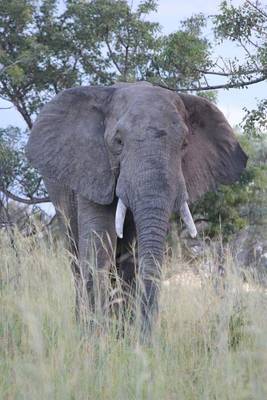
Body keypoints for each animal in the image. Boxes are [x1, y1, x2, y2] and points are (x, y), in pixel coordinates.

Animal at [26, 81, 248, 340]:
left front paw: (125, 339)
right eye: (118, 142)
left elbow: (132, 256)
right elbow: (99, 245)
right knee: (75, 255)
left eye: (184, 144)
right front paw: (95, 339)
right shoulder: (92, 168)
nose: (148, 340)